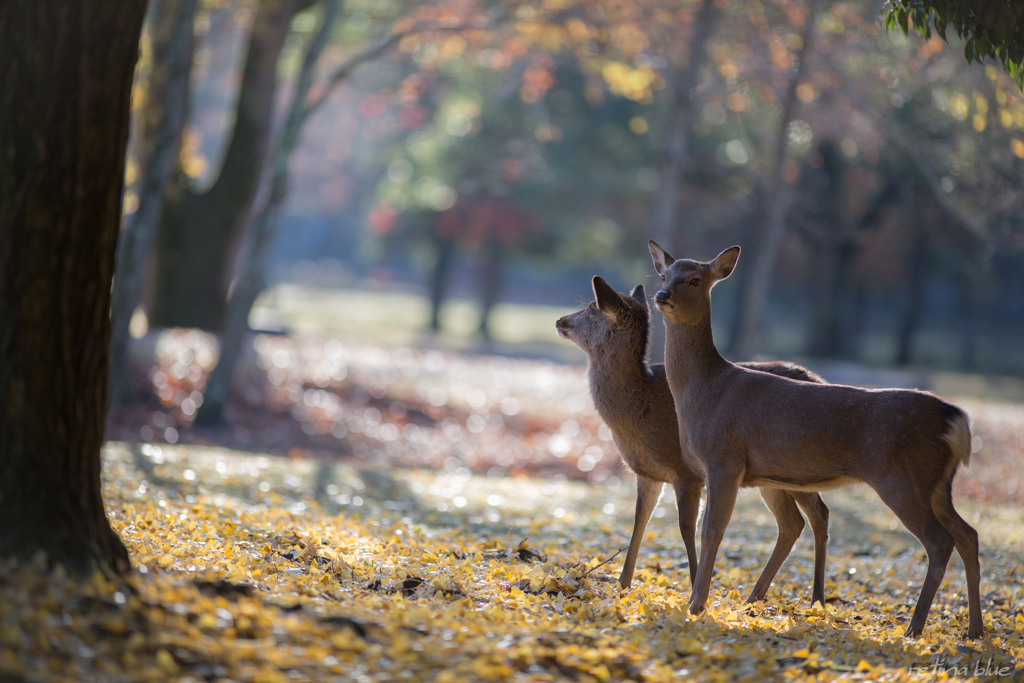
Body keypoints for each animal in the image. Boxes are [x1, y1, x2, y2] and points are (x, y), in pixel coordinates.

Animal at [561, 274, 831, 606]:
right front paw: (622, 584)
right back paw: (756, 598)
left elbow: (686, 527)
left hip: (798, 468)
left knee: (817, 515)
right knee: (795, 522)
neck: (639, 416)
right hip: (773, 478)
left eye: (591, 308)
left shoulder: (687, 472)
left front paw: (692, 588)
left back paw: (815, 598)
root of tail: (820, 378)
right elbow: (640, 520)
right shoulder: (648, 473)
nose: (560, 321)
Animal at [647, 241, 983, 643]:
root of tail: (955, 418)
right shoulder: (748, 472)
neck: (701, 390)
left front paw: (696, 605)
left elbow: (712, 530)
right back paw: (974, 630)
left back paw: (914, 628)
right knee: (968, 534)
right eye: (664, 276)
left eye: (695, 279)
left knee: (939, 541)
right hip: (936, 484)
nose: (661, 295)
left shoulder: (723, 460)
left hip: (902, 478)